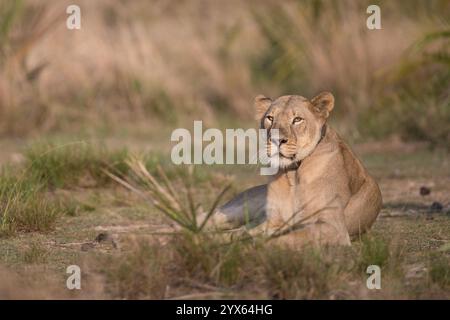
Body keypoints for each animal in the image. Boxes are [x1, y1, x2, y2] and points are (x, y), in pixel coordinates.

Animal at [209, 91, 382, 246]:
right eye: (270, 118)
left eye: (297, 119)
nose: (277, 140)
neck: (293, 173)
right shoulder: (274, 220)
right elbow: (246, 233)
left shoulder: (334, 227)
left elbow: (289, 236)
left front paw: (251, 244)